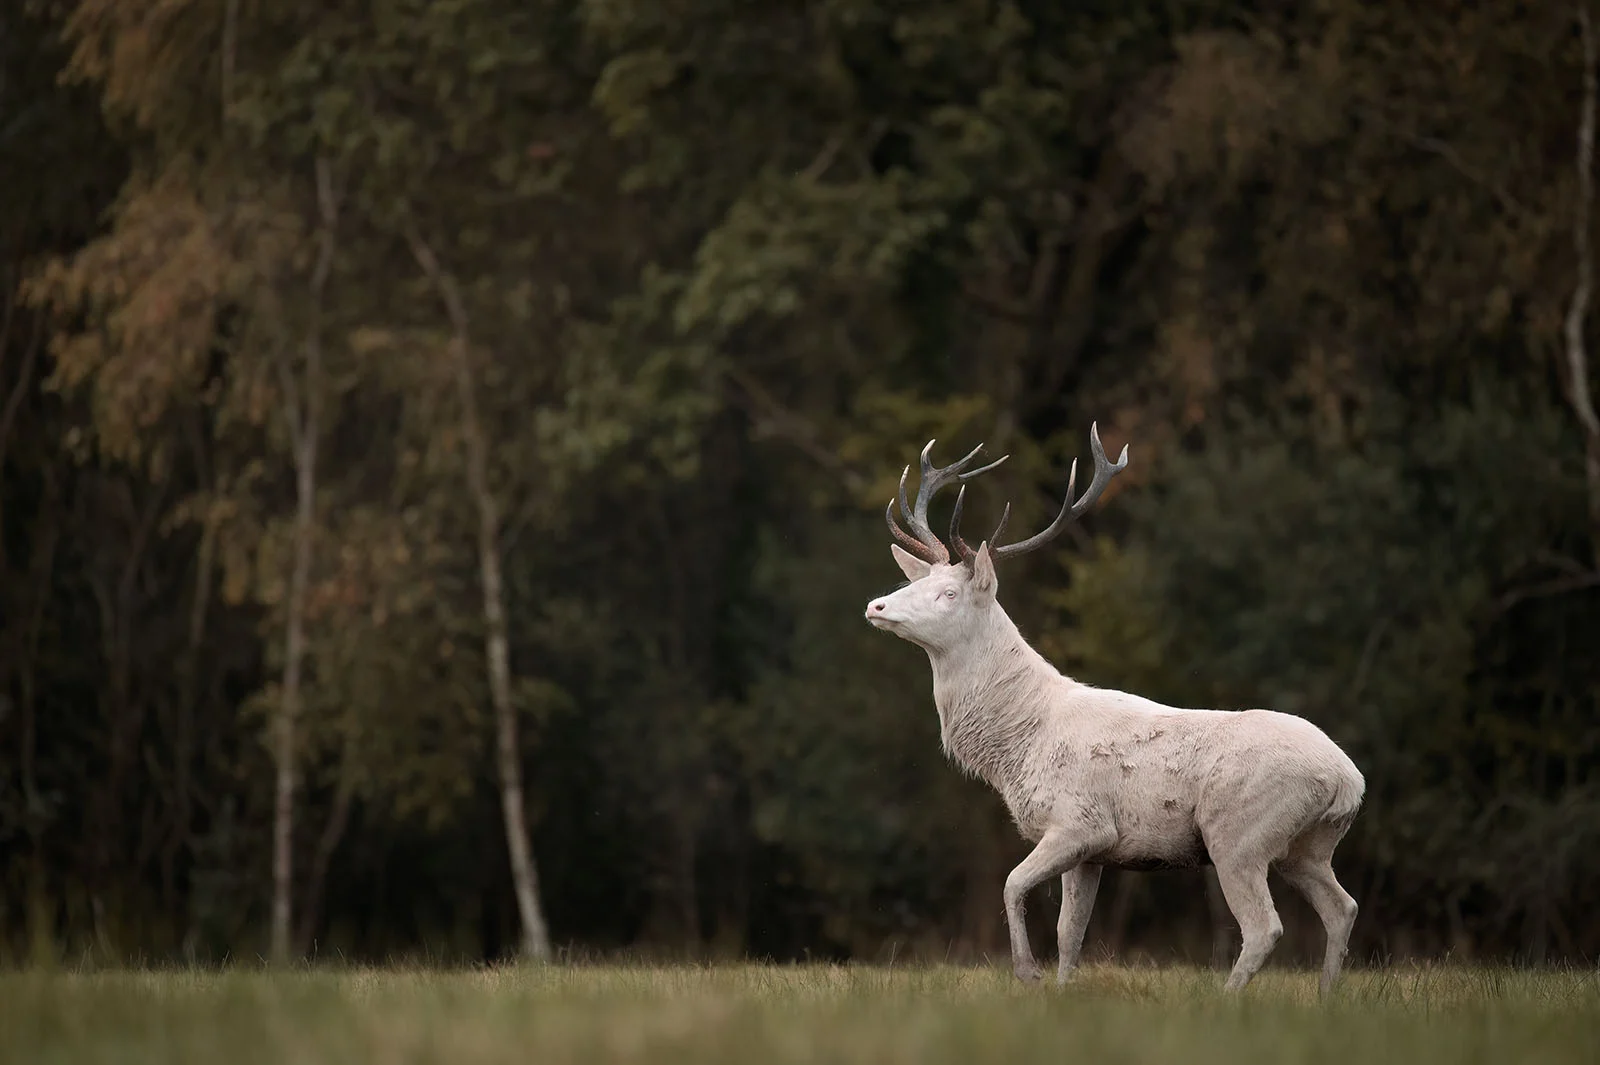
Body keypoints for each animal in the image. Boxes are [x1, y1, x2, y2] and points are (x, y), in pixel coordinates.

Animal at [863, 425, 1365, 995]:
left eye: (948, 593)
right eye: (913, 583)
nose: (877, 605)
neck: (1016, 748)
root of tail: (1348, 781)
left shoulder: (1080, 821)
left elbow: (1012, 885)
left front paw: (1027, 974)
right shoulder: (1091, 851)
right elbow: (1069, 932)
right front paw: (1062, 990)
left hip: (1239, 833)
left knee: (1265, 926)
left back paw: (1227, 999)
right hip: (1309, 846)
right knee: (1343, 907)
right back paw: (1325, 998)